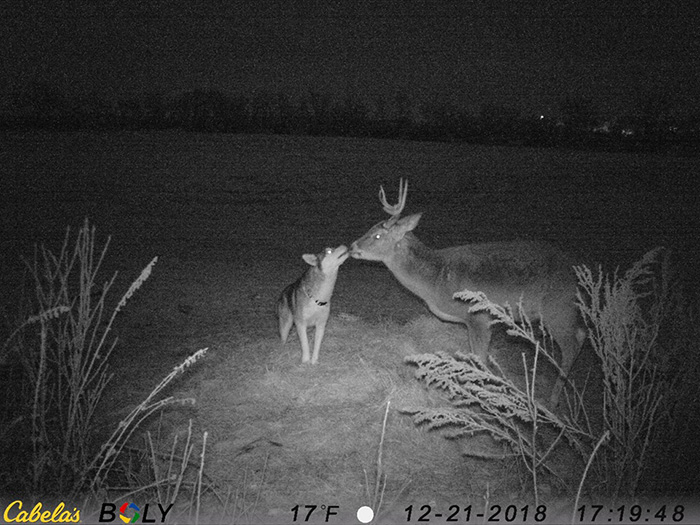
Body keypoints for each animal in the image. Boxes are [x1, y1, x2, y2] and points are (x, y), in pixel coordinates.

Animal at [350, 179, 584, 406]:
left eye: (377, 235)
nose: (352, 247)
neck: (435, 280)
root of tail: (577, 272)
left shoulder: (479, 316)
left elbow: (480, 359)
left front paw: (481, 398)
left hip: (557, 308)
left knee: (570, 347)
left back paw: (552, 400)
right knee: (581, 334)